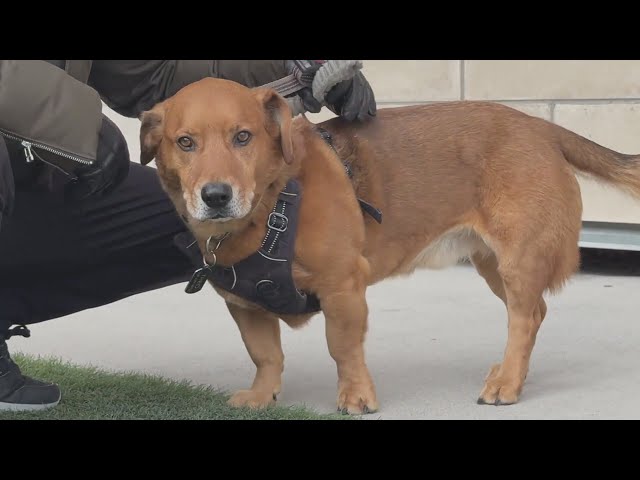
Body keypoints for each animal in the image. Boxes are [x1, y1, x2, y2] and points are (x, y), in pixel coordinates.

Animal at [138, 78, 636, 412]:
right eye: (185, 143)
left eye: (243, 137)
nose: (215, 196)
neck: (271, 204)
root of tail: (541, 127)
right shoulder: (245, 305)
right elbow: (265, 355)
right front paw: (263, 395)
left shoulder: (342, 288)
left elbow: (342, 348)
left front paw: (356, 395)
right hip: (493, 264)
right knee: (531, 314)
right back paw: (509, 372)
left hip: (518, 259)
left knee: (525, 317)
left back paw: (508, 383)